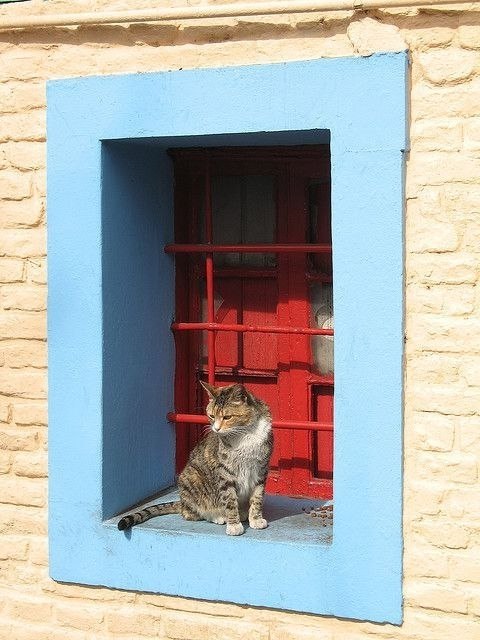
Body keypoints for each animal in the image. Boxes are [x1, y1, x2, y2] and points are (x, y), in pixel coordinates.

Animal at [118, 382, 273, 536]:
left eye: (227, 417)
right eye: (211, 415)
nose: (216, 429)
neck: (245, 433)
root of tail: (181, 502)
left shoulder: (261, 469)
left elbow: (257, 497)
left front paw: (256, 519)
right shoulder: (224, 472)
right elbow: (229, 499)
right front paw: (234, 524)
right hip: (191, 477)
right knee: (190, 513)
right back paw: (218, 516)